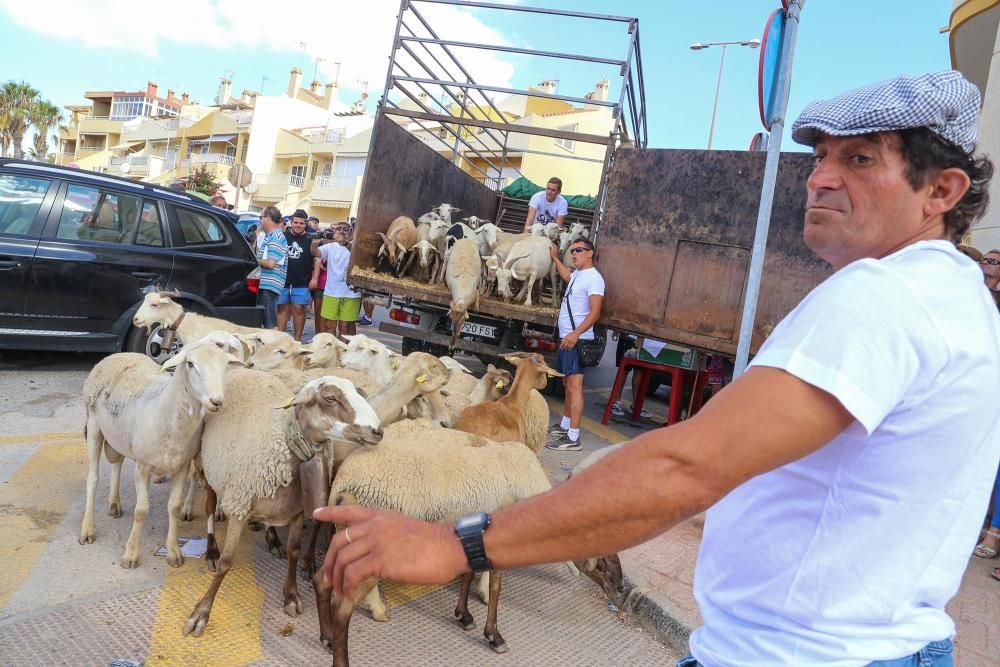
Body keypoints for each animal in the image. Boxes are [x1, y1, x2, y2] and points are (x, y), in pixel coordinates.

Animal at [79, 340, 241, 568]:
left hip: (119, 435)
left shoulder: (182, 467)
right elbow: (141, 510)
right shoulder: (142, 468)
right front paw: (130, 554)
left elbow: (174, 507)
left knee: (117, 462)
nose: (216, 401)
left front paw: (173, 552)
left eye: (225, 365)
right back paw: (87, 529)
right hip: (94, 424)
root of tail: (120, 354)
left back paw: (114, 503)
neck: (165, 413)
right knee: (92, 479)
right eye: (190, 364)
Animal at [182, 370, 380, 636]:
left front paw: (291, 596)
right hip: (209, 466)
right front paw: (201, 613)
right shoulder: (240, 506)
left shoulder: (297, 511)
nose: (378, 431)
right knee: (210, 505)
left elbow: (294, 551)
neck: (286, 443)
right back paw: (212, 548)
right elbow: (226, 562)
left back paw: (272, 538)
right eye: (330, 398)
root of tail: (241, 369)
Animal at [312, 420, 552, 660]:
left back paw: (327, 638)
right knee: (342, 609)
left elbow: (468, 574)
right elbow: (495, 587)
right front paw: (494, 635)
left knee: (321, 581)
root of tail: (341, 486)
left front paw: (464, 615)